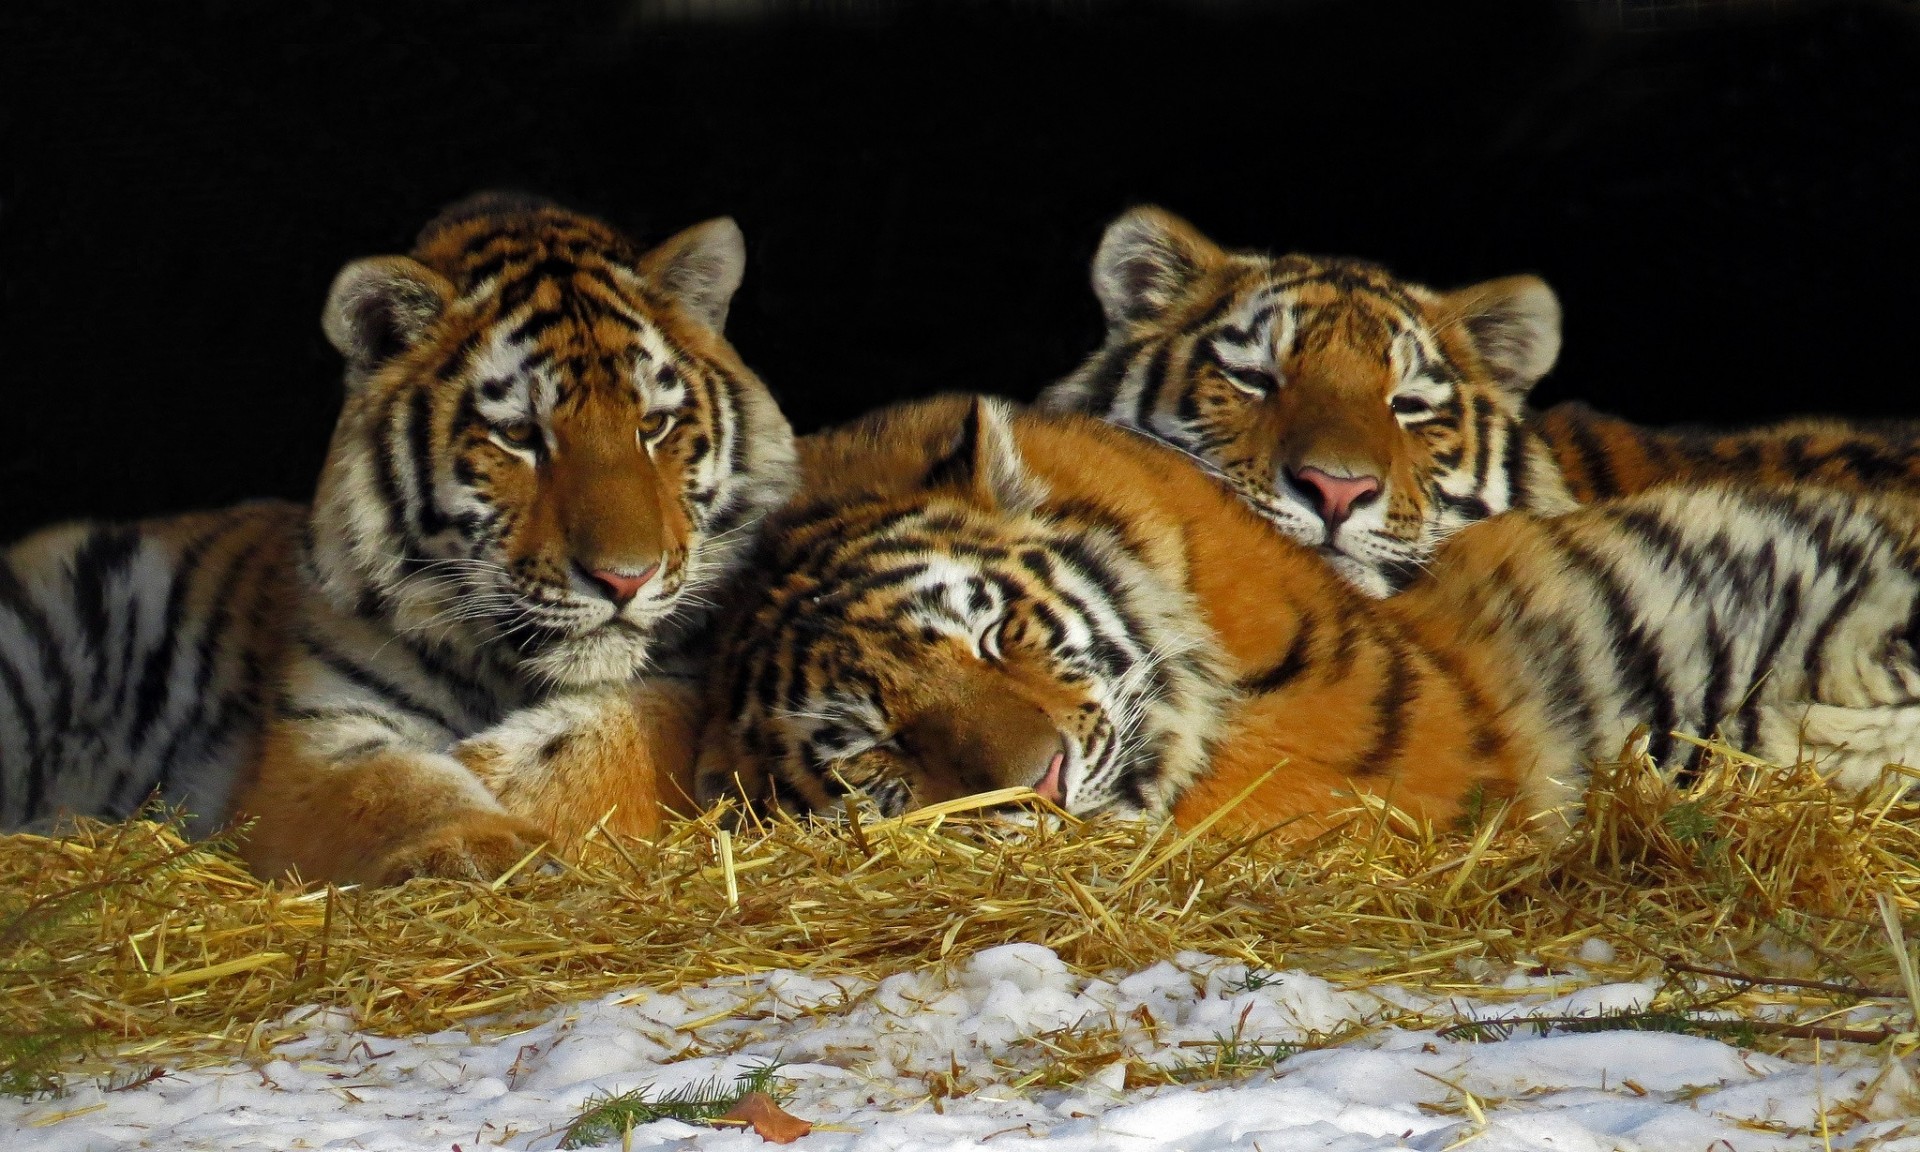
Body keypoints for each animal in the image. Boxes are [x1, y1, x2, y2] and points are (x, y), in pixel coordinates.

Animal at [1, 193, 798, 884]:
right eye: (519, 436)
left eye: (653, 425)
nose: (625, 579)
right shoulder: (318, 736)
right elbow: (398, 792)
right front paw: (491, 846)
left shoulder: (693, 678)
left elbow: (623, 737)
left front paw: (499, 772)